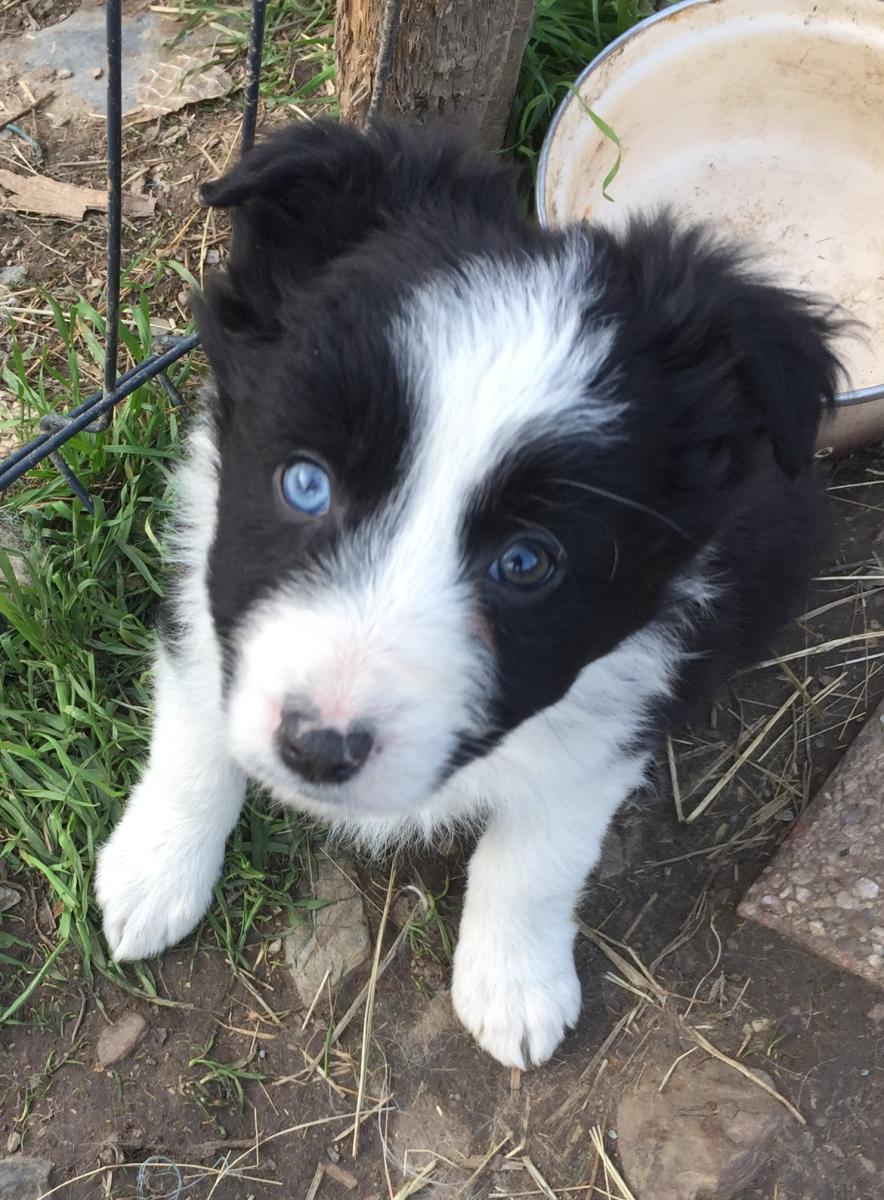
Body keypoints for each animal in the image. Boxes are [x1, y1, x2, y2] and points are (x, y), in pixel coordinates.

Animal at [92, 117, 839, 1065]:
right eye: (305, 483)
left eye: (527, 563)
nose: (317, 750)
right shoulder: (209, 579)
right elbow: (194, 733)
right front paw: (153, 872)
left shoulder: (623, 703)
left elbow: (538, 853)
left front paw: (514, 985)